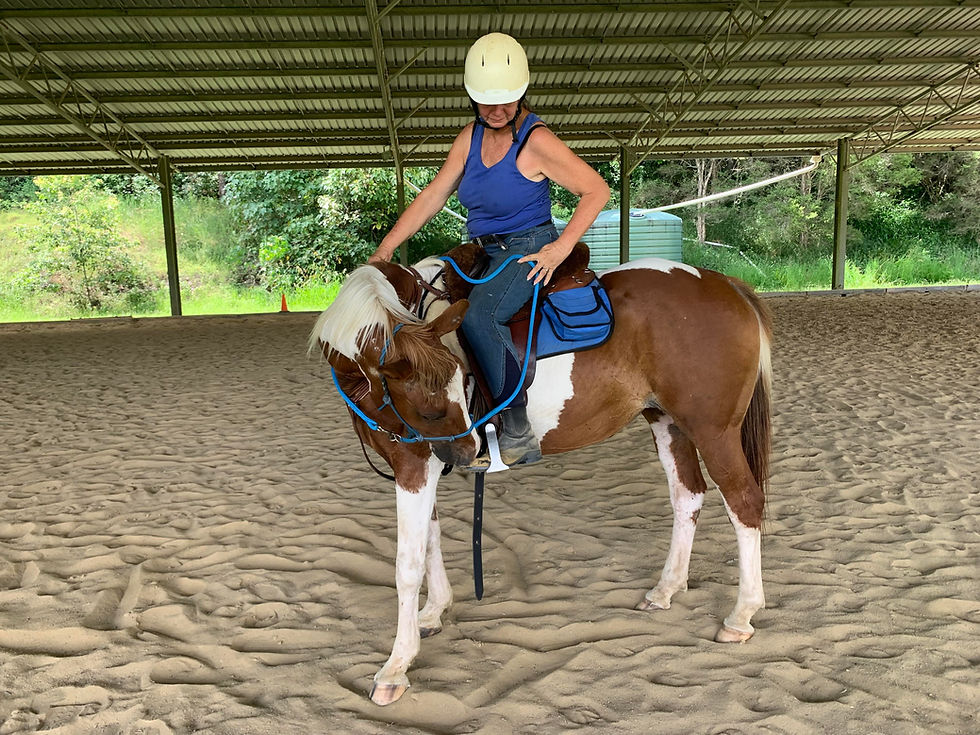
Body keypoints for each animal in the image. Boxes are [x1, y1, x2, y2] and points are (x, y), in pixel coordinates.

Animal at [310, 253, 772, 706]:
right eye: (432, 409)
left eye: (448, 395)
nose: (469, 451)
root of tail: (726, 285)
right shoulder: (421, 464)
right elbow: (431, 541)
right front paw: (434, 612)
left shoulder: (415, 463)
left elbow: (408, 563)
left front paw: (396, 666)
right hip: (667, 421)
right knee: (687, 496)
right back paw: (666, 589)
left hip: (713, 431)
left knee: (744, 502)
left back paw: (741, 615)